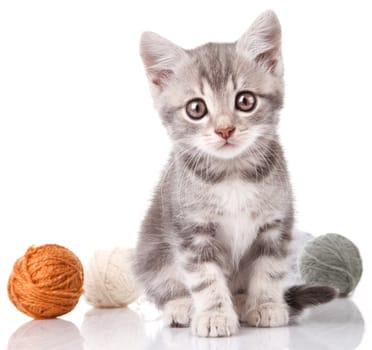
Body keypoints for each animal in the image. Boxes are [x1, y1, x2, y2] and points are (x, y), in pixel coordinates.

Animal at [134, 10, 338, 336]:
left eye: (245, 101)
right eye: (196, 108)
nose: (225, 129)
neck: (232, 175)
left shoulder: (275, 224)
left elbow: (269, 269)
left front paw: (265, 305)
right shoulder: (192, 231)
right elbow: (205, 278)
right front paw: (214, 314)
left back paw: (242, 302)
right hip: (150, 247)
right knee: (164, 283)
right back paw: (182, 306)